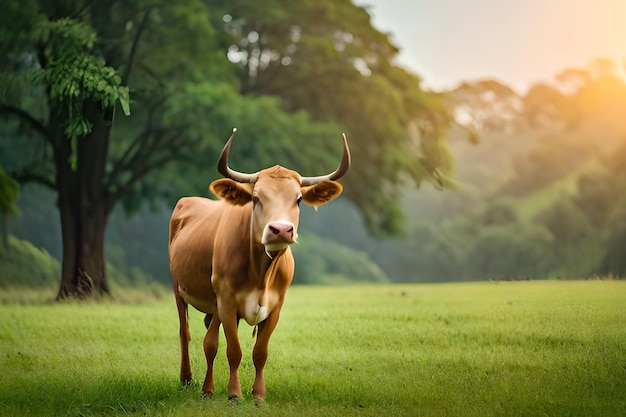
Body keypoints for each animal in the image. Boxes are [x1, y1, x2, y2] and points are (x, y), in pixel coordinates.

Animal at [168, 129, 348, 400]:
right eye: (255, 198)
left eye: (298, 200)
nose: (280, 229)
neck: (261, 273)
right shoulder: (227, 302)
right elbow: (233, 351)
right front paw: (234, 394)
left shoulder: (275, 306)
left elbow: (259, 352)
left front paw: (258, 395)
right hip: (179, 288)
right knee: (187, 333)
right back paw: (190, 379)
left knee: (209, 338)